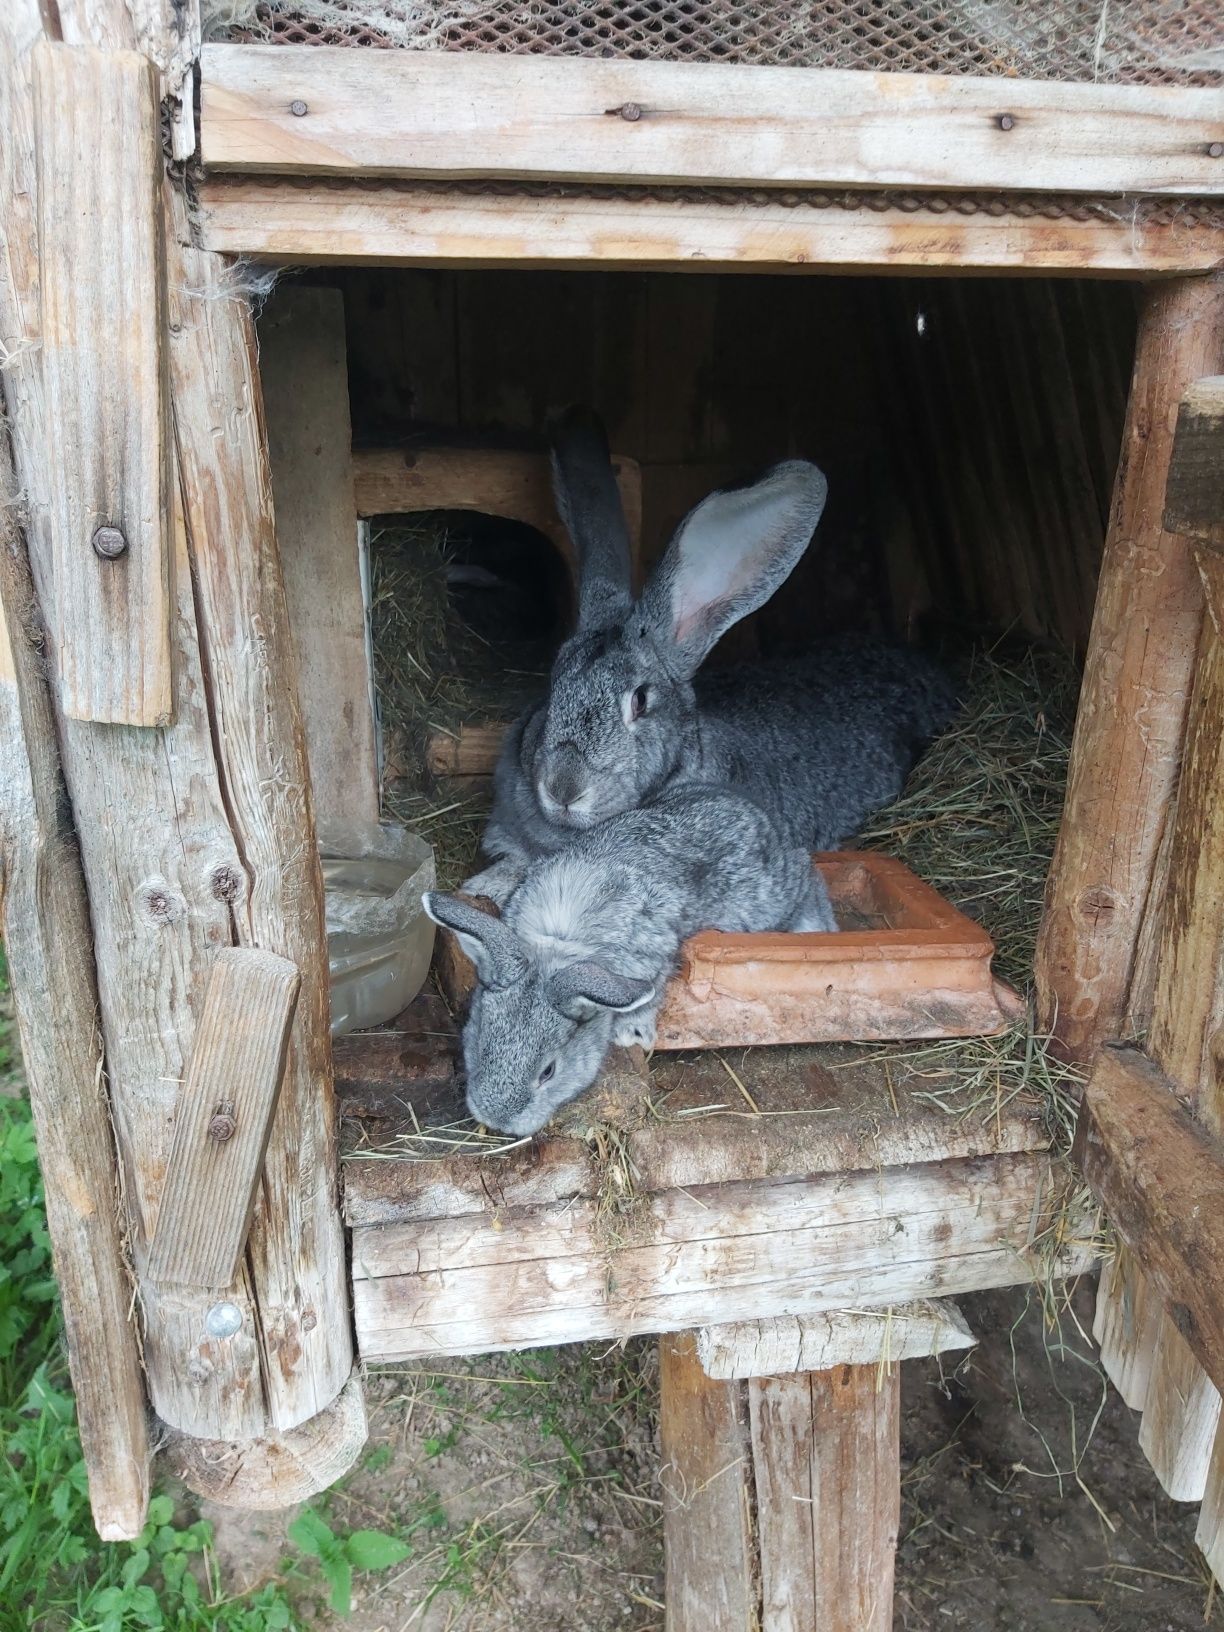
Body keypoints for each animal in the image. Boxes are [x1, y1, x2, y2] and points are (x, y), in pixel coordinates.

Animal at [427, 780, 842, 1135]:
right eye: (480, 1044)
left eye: (548, 1071)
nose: (495, 1119)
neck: (559, 945)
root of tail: (751, 808)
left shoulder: (653, 958)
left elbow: (648, 994)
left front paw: (633, 1033)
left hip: (765, 899)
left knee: (806, 873)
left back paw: (817, 928)